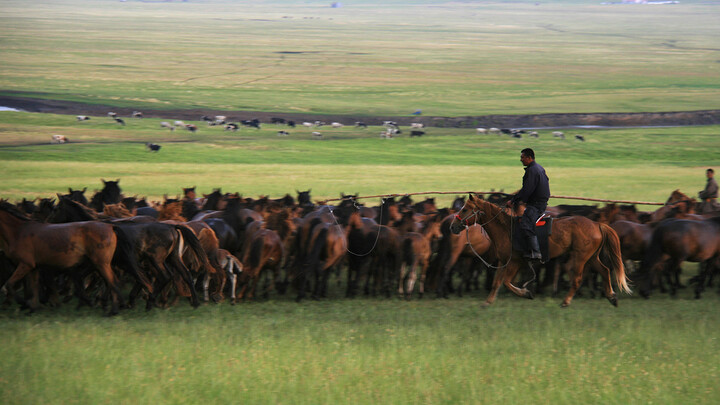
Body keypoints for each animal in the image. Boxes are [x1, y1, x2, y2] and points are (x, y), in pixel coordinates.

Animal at [450, 193, 632, 306]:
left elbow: (507, 282)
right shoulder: (503, 261)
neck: (506, 228)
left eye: (465, 209)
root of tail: (597, 224)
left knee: (578, 279)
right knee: (605, 270)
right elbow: (497, 283)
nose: (453, 226)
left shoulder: (515, 262)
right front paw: (487, 302)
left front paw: (526, 293)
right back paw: (611, 296)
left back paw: (566, 301)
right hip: (592, 257)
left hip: (581, 257)